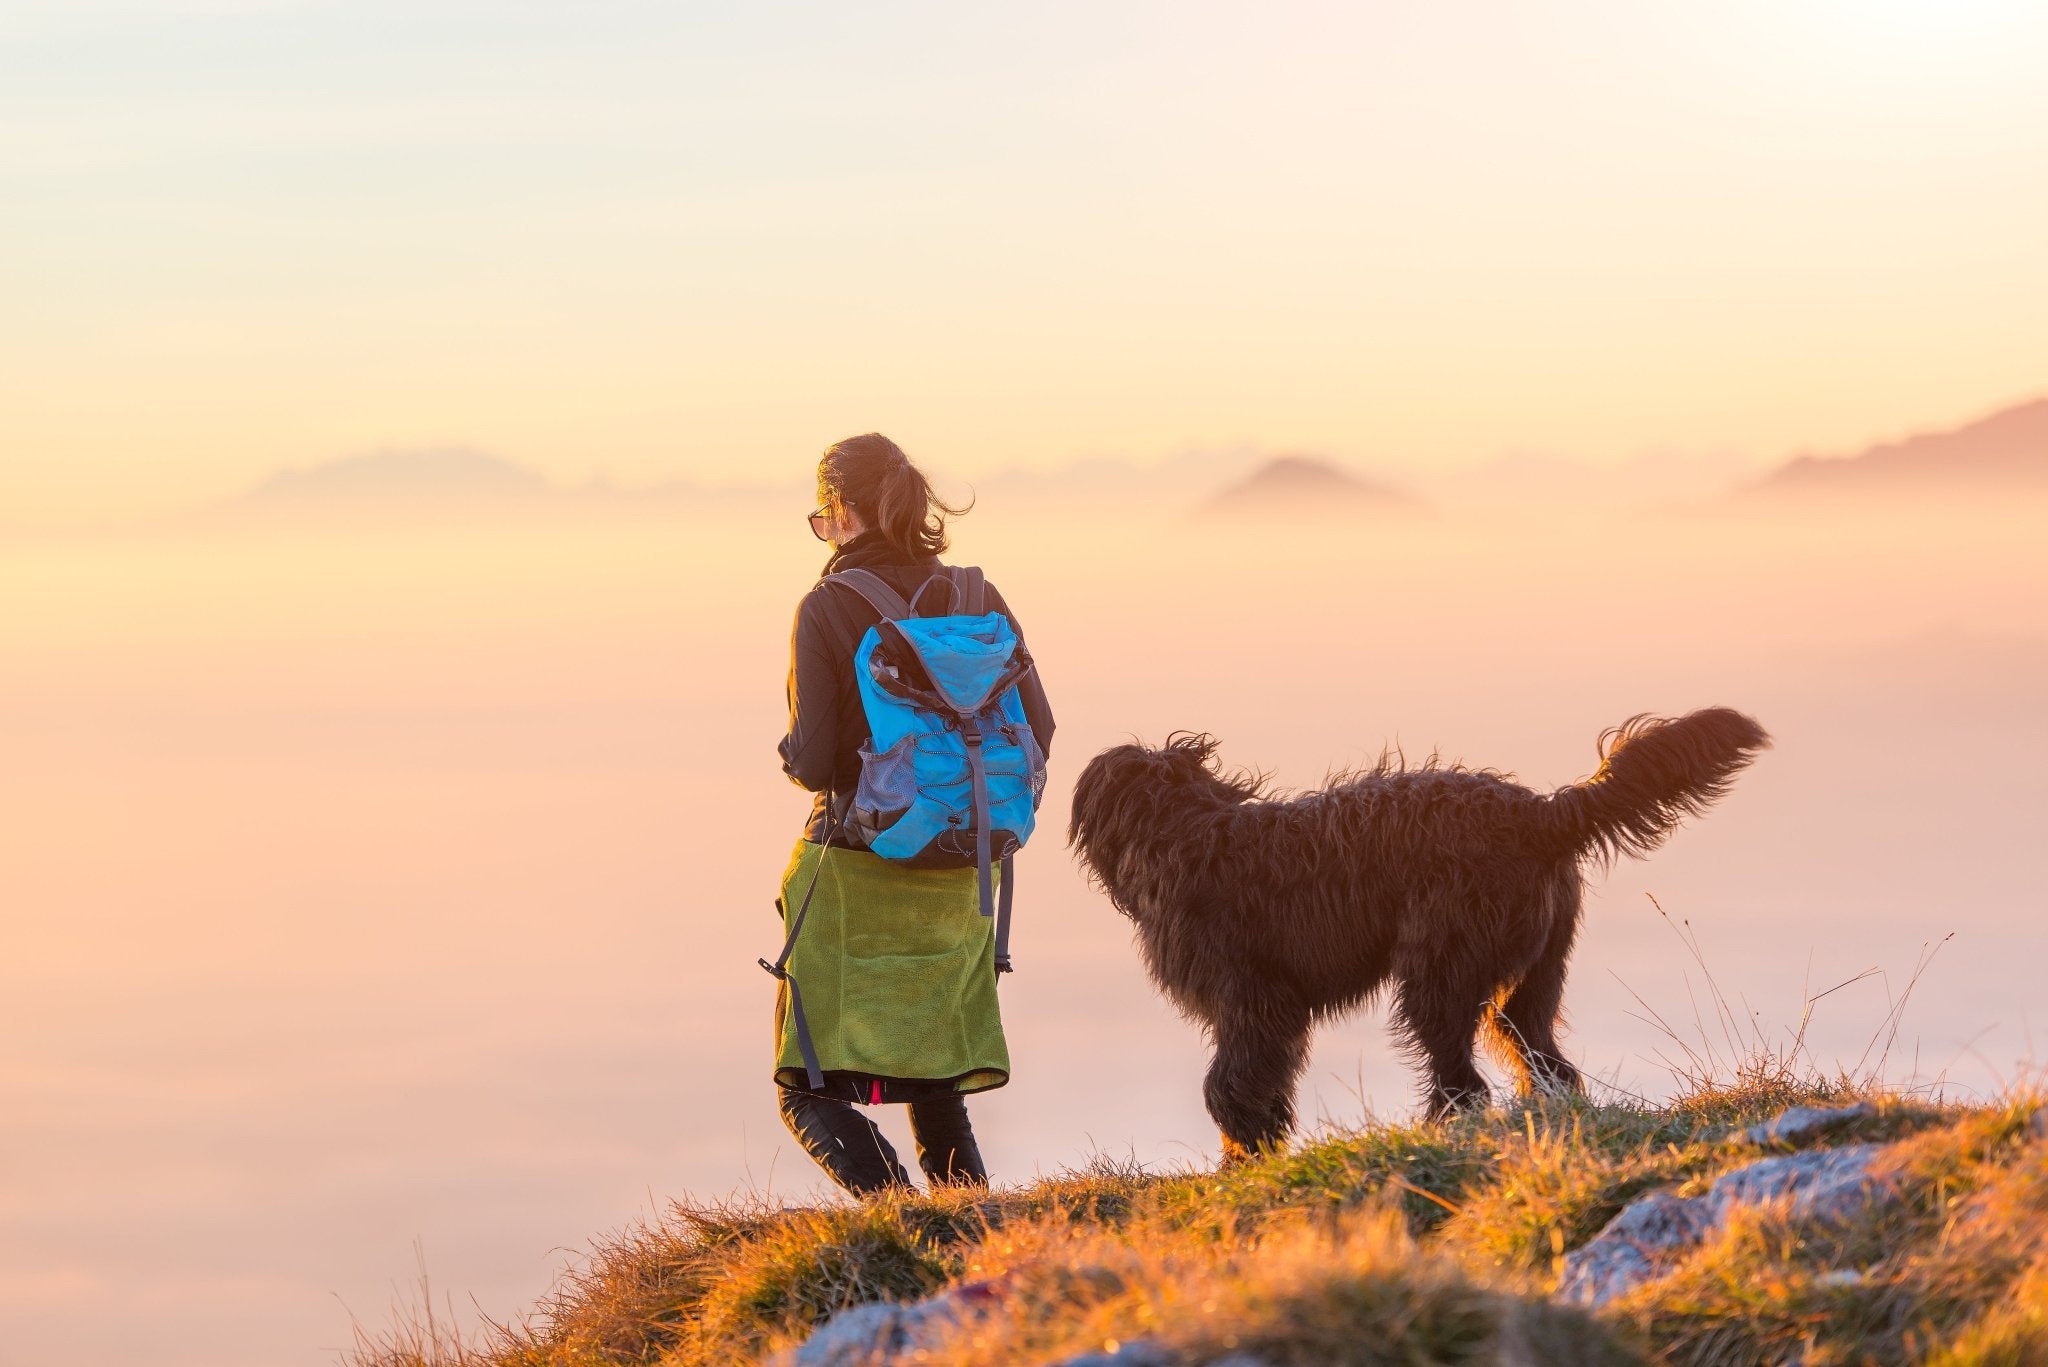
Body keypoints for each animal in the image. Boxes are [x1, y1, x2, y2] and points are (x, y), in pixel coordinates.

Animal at [1073, 713, 1761, 1164]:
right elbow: (1266, 1072)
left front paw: (1243, 1144)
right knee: (1539, 1052)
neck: (1185, 832)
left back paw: (1437, 1129)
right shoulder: (1274, 1007)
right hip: (1538, 969)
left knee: (1461, 1073)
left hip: (1441, 965)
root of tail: (1543, 815)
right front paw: (1261, 1135)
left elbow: (1229, 1078)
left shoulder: (1251, 996)